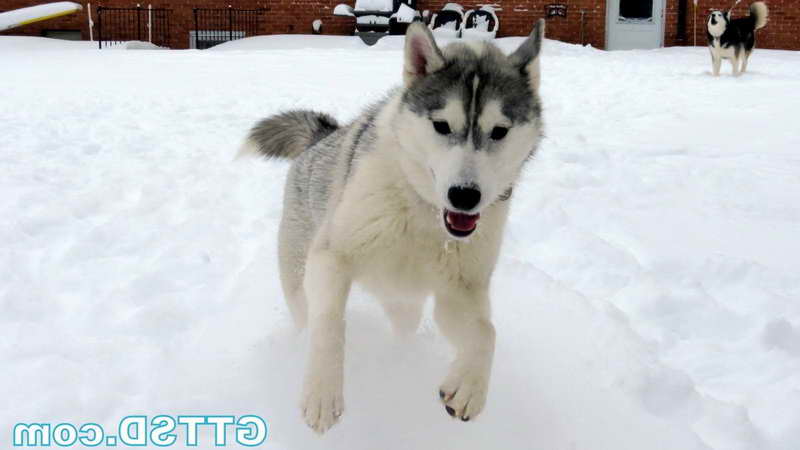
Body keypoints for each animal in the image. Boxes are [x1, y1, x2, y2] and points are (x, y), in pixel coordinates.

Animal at [241, 20, 548, 432]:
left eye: (500, 130)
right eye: (441, 125)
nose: (464, 196)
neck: (422, 210)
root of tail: (324, 135)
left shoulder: (459, 291)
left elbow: (486, 331)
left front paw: (468, 386)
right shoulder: (330, 258)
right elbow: (329, 324)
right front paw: (322, 393)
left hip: (405, 302)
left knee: (406, 329)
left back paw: (401, 360)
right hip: (296, 275)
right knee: (305, 317)